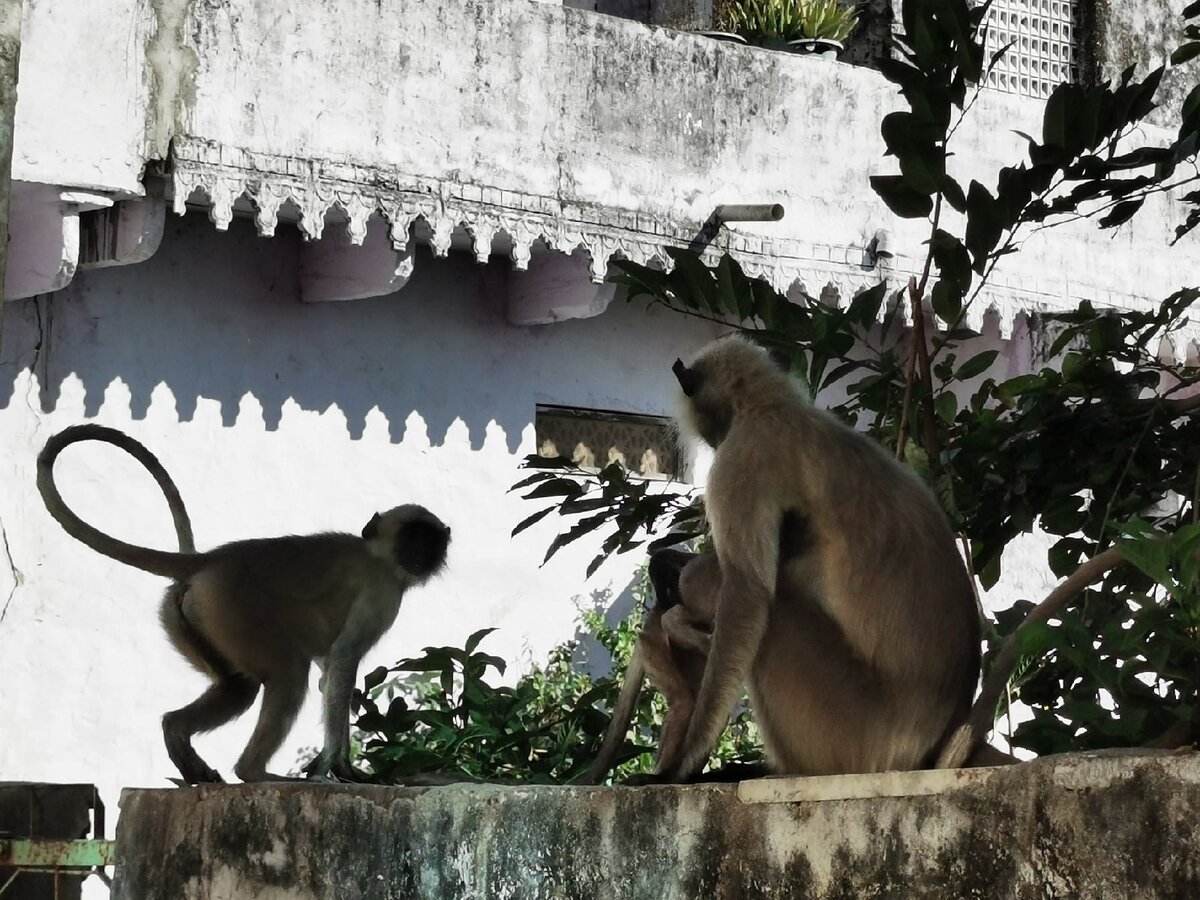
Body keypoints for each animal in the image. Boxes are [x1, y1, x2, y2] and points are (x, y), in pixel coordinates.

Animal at [38, 427, 451, 787]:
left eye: (430, 542)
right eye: (412, 539)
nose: (421, 555)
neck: (377, 554)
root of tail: (211, 560)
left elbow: (328, 672)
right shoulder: (382, 590)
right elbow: (342, 661)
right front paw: (341, 767)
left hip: (192, 615)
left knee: (239, 686)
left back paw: (180, 737)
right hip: (231, 609)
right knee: (287, 674)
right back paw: (253, 772)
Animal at [667, 336, 984, 782]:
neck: (773, 407)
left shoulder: (741, 457)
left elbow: (747, 593)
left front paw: (681, 765)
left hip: (848, 730)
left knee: (772, 611)